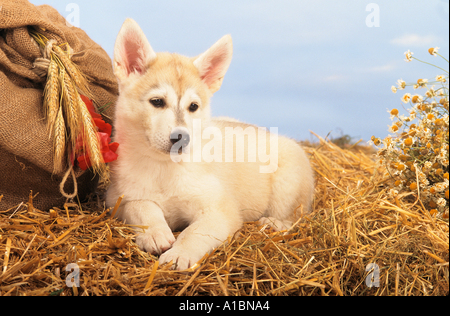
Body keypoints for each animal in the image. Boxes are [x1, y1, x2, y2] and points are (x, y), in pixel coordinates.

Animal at [107, 18, 314, 270]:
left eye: (193, 107)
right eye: (157, 102)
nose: (182, 138)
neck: (164, 169)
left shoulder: (220, 210)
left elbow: (195, 232)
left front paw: (180, 253)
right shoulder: (118, 199)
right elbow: (142, 208)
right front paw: (154, 233)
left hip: (288, 180)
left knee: (295, 215)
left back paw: (274, 223)